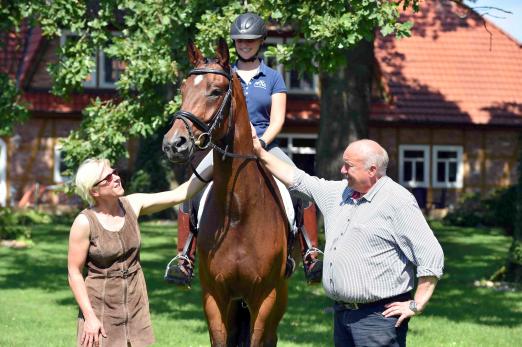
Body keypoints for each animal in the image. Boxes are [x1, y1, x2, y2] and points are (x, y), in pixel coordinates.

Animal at [162, 39, 290, 346]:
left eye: (216, 91)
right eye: (183, 89)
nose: (174, 144)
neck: (238, 211)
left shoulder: (264, 298)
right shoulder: (215, 295)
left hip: (278, 296)